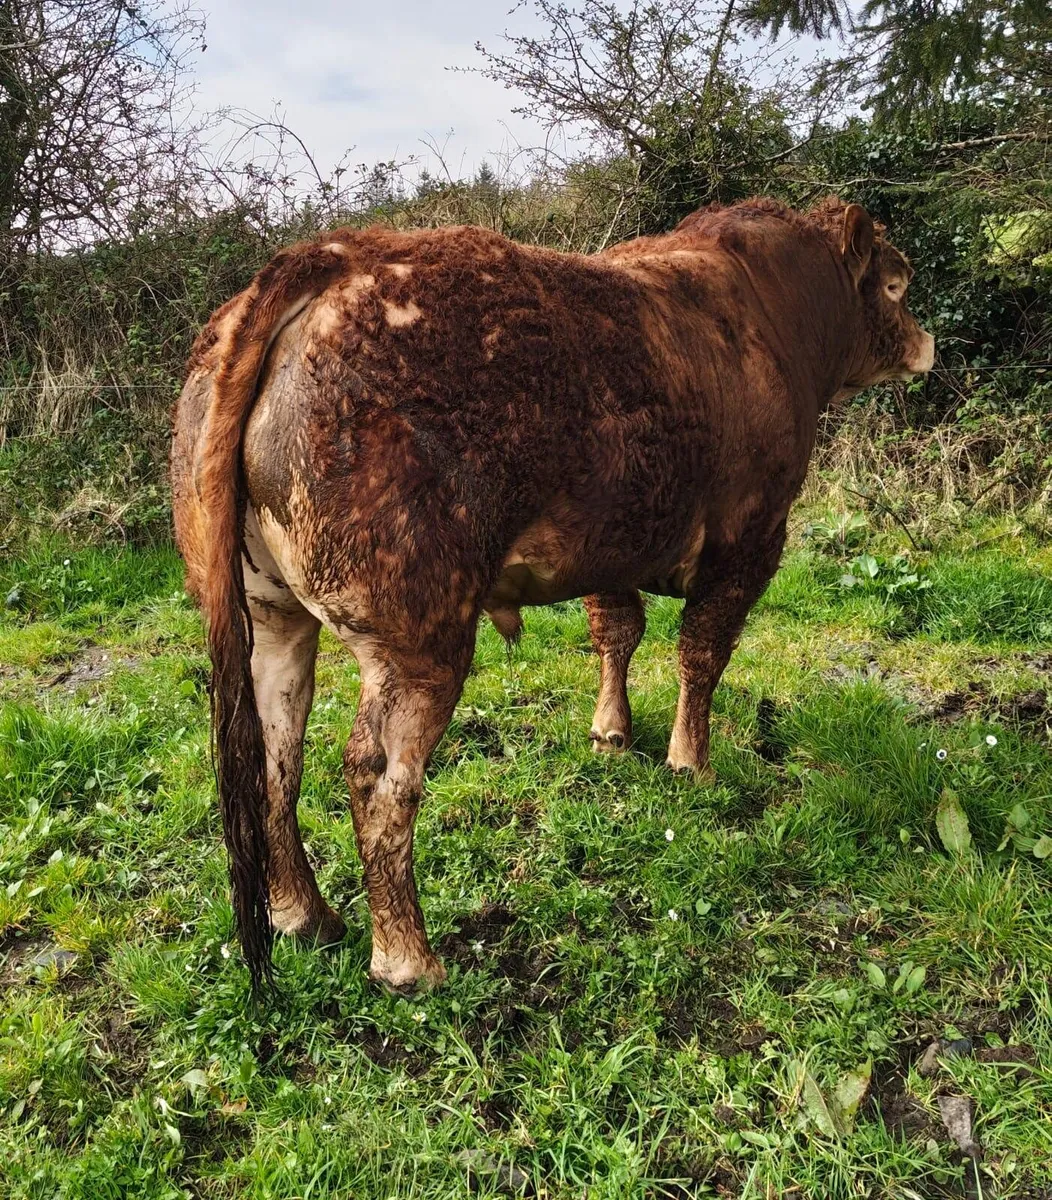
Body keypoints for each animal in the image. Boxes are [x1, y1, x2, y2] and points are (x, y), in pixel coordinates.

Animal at [170, 196, 935, 994]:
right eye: (895, 285)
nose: (927, 342)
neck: (774, 311)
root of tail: (327, 259)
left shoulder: (614, 540)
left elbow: (617, 631)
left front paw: (611, 734)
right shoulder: (749, 539)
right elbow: (701, 656)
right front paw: (690, 761)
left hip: (271, 613)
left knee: (273, 752)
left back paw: (305, 915)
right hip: (418, 634)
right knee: (379, 776)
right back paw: (410, 959)